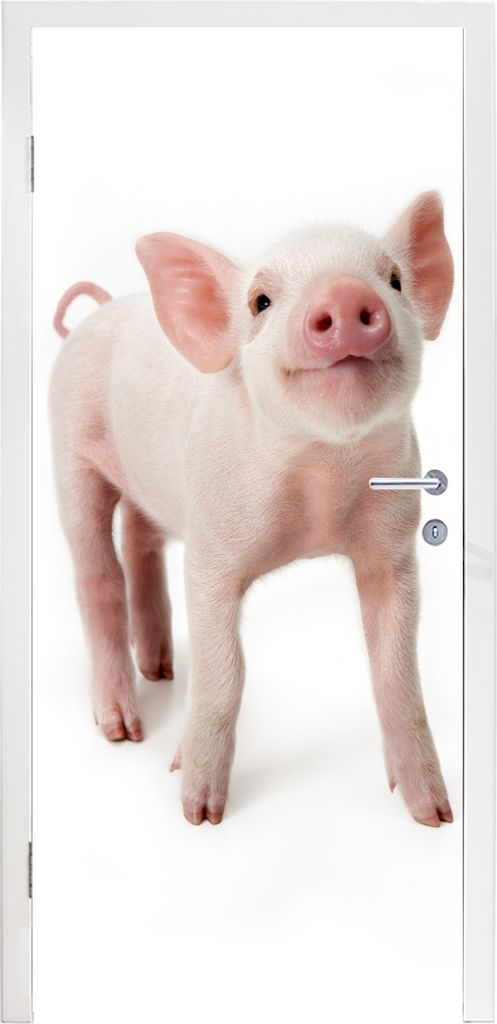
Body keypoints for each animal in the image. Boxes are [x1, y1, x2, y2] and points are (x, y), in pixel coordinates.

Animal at [50, 191, 454, 828]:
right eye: (260, 302)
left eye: (392, 279)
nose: (345, 295)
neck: (321, 477)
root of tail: (101, 310)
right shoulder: (212, 553)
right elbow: (225, 672)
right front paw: (197, 813)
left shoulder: (393, 548)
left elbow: (395, 671)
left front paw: (435, 816)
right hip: (69, 452)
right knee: (97, 577)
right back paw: (123, 731)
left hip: (150, 489)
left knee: (140, 543)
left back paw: (161, 669)